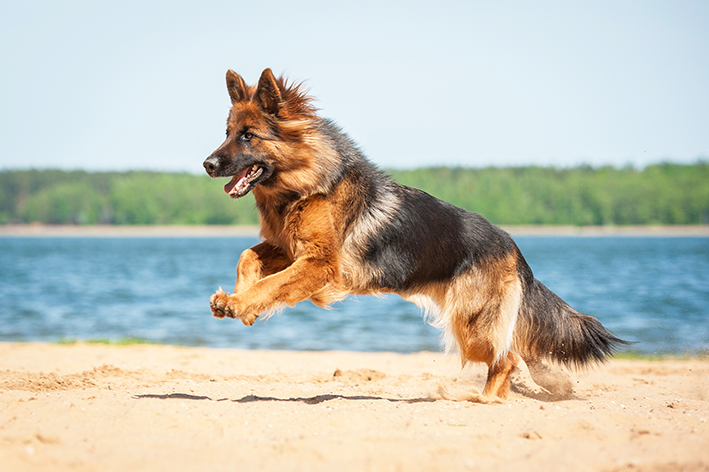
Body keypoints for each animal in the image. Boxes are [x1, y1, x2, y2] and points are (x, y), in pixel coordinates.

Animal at [202, 68, 628, 400]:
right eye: (226, 132)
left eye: (248, 136)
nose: (207, 164)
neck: (305, 183)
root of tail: (514, 247)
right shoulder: (290, 250)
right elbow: (248, 256)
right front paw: (237, 299)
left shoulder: (318, 263)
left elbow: (272, 284)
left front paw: (241, 302)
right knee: (513, 356)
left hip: (471, 327)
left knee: (507, 358)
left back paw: (485, 400)